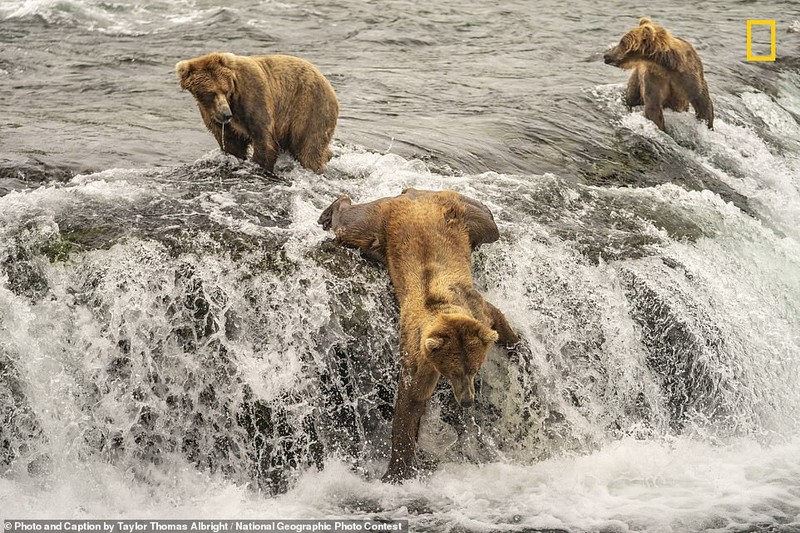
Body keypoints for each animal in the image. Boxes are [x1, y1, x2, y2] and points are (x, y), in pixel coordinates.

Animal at [175, 52, 338, 172]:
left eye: (225, 90)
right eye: (210, 93)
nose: (226, 114)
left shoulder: (253, 96)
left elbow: (264, 139)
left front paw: (259, 164)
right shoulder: (213, 115)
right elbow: (231, 143)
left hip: (310, 108)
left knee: (309, 149)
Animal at [318, 188, 520, 482]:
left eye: (473, 368)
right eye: (453, 371)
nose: (467, 401)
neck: (441, 306)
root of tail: (413, 195)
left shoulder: (477, 310)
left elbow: (499, 321)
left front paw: (516, 348)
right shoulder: (418, 352)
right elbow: (411, 401)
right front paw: (397, 470)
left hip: (461, 214)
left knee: (489, 223)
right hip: (382, 222)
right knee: (351, 226)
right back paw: (331, 211)